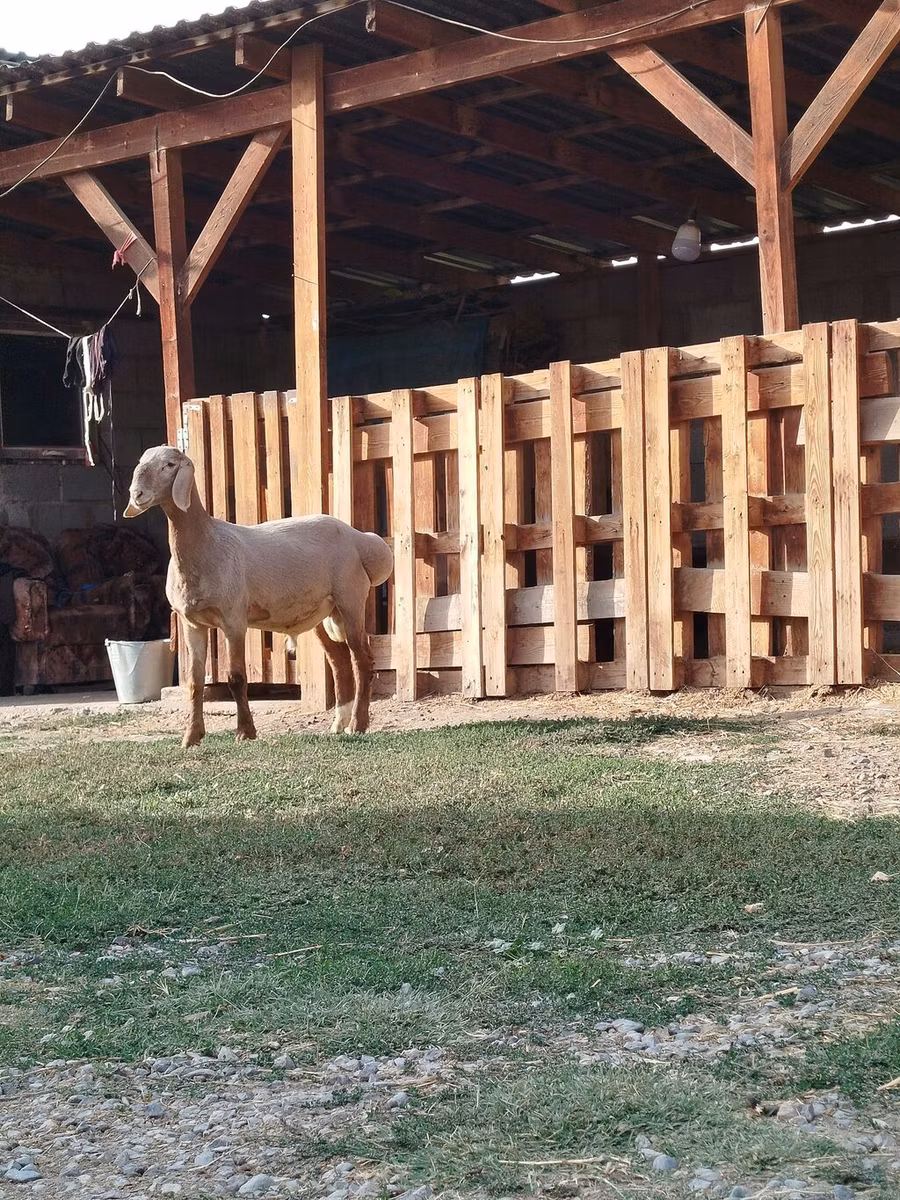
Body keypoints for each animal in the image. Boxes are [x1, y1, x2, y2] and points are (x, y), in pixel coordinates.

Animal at [124, 445, 393, 748]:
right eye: (141, 462)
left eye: (169, 465)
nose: (137, 494)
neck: (207, 542)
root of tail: (361, 539)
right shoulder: (192, 623)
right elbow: (194, 682)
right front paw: (191, 737)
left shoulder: (233, 619)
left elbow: (236, 677)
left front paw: (245, 732)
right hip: (323, 612)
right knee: (340, 664)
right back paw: (338, 724)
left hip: (350, 598)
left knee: (362, 661)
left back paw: (358, 724)